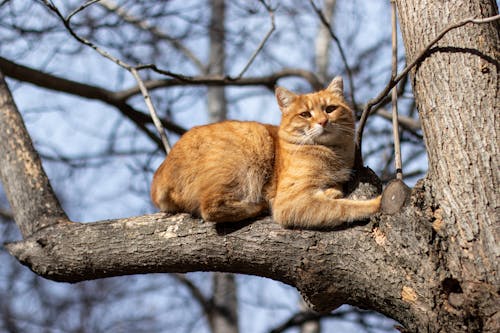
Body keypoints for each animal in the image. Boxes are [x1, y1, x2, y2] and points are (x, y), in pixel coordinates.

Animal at [150, 77, 380, 228]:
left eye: (330, 109)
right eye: (305, 114)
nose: (323, 122)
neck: (334, 153)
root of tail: (158, 176)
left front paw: (332, 190)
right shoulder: (290, 202)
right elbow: (345, 207)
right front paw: (375, 204)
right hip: (248, 149)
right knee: (211, 208)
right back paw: (259, 206)